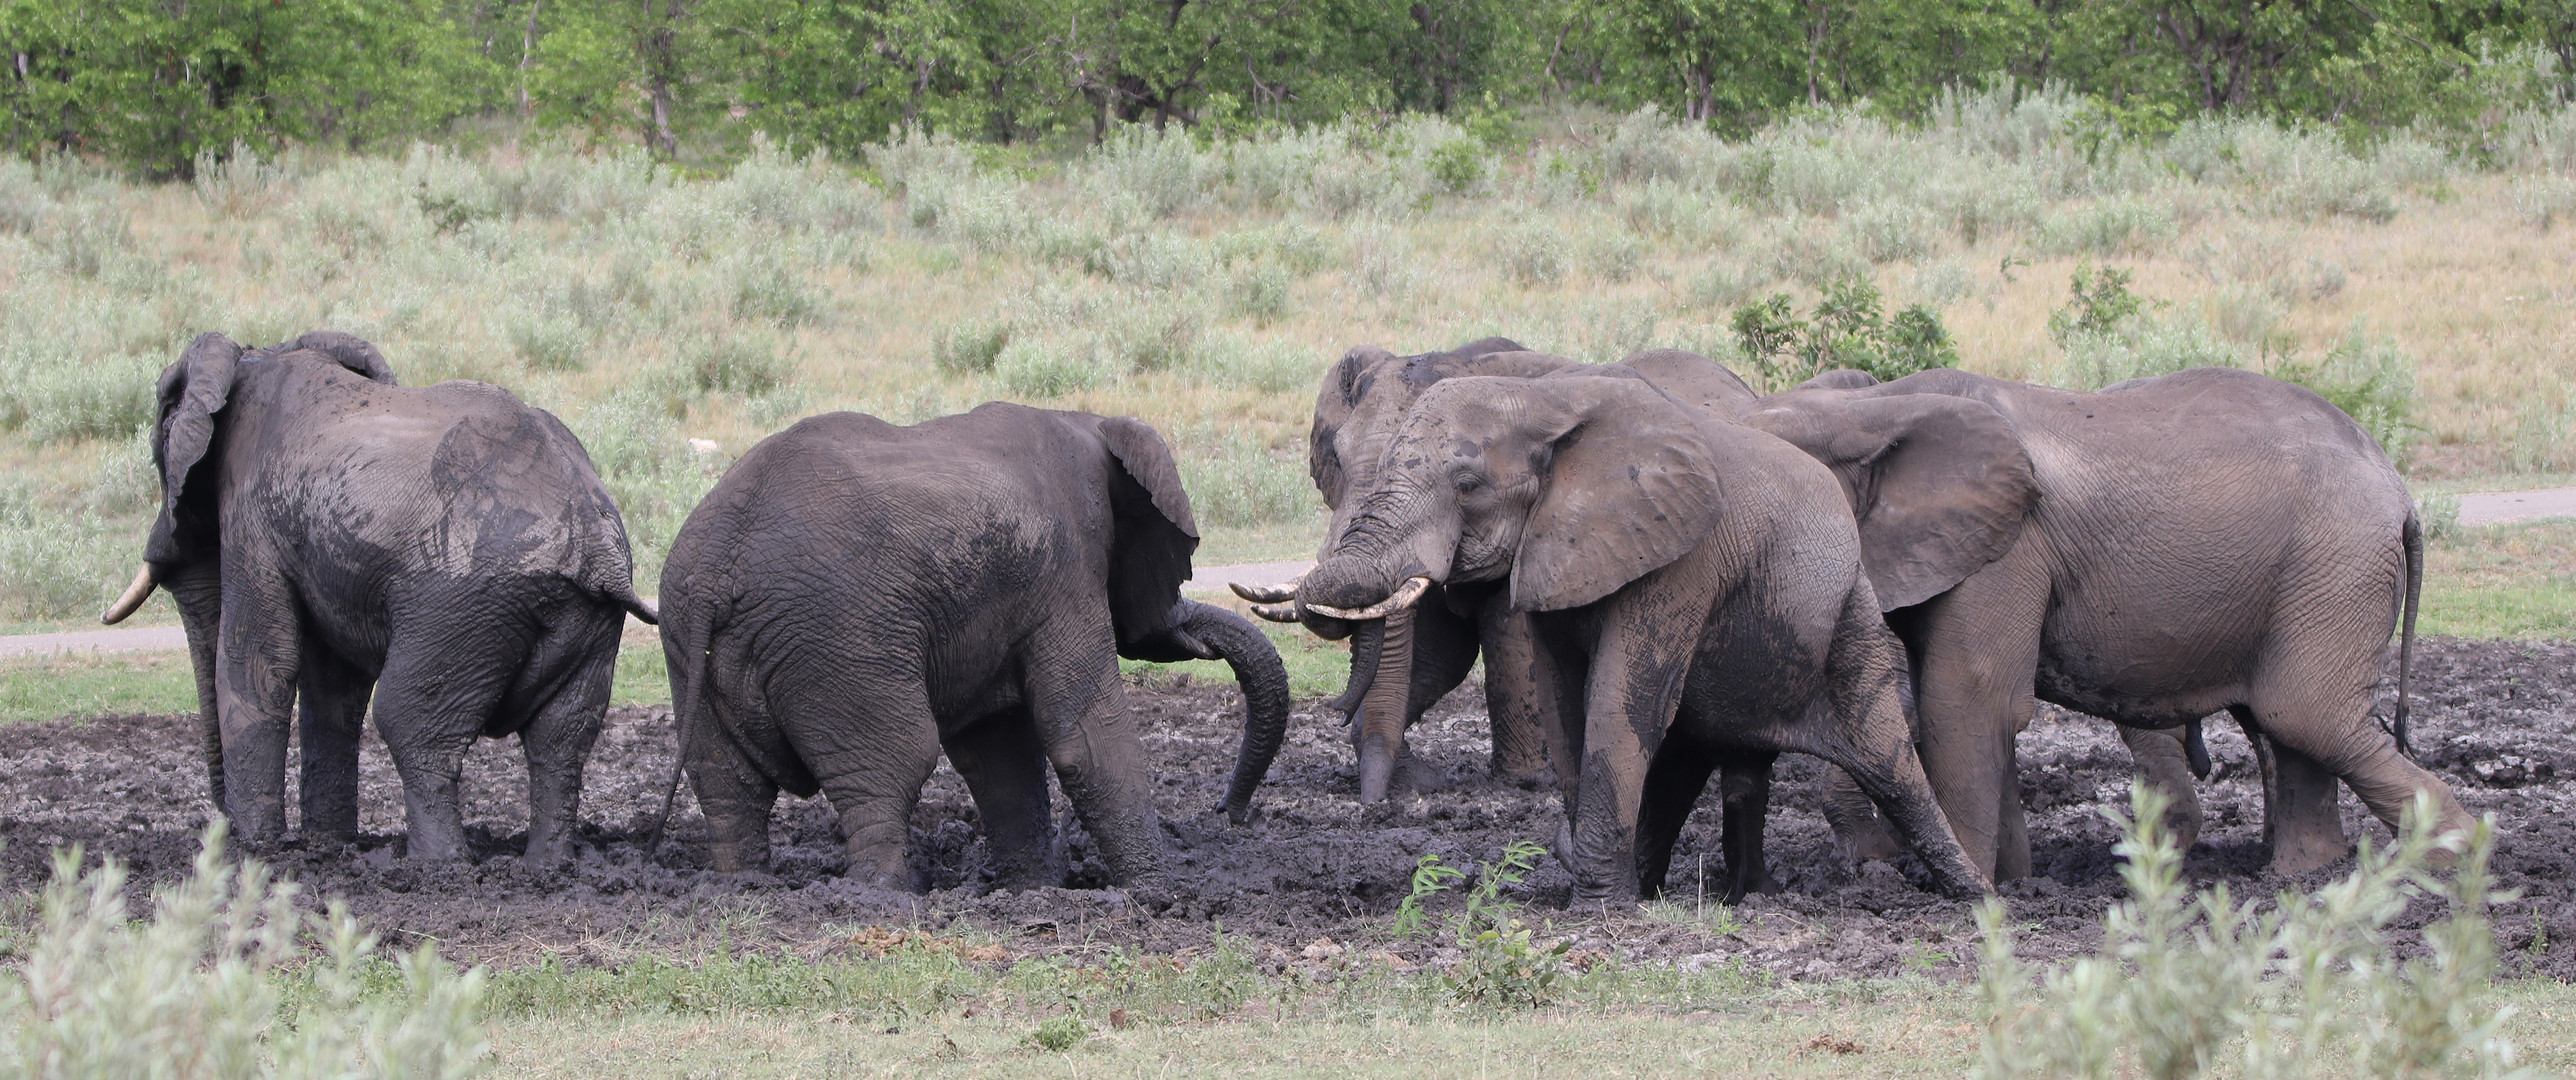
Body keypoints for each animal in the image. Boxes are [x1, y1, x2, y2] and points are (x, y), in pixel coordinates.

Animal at [101, 329, 659, 860]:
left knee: (411, 724)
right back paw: (546, 866)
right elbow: (332, 685)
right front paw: (328, 845)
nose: (222, 833)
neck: (256, 353)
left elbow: (258, 663)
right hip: (579, 620)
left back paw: (437, 866)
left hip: (459, 608)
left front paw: (256, 852)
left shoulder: (253, 519)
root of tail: (594, 541)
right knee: (561, 742)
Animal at [649, 404, 1282, 896]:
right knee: (896, 763)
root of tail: (717, 565)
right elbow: (1083, 739)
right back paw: (880, 899)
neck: (1088, 422)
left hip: (687, 635)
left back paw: (742, 888)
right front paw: (1156, 896)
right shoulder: (1065, 572)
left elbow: (997, 751)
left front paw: (1030, 893)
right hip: (837, 639)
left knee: (726, 783)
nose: (1229, 814)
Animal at [1236, 342, 1761, 809]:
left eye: (1467, 486)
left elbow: (1503, 629)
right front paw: (1419, 781)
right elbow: (1439, 651)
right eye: (1336, 458)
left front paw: (1523, 782)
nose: (1373, 807)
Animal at [1288, 371, 1988, 907]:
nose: (1335, 708)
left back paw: (1977, 898)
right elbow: (1565, 702)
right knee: (1686, 763)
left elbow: (1621, 700)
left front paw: (1596, 910)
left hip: (1849, 611)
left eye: (1467, 485)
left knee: (1887, 762)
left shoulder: (1683, 559)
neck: (1544, 400)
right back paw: (1669, 889)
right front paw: (1607, 897)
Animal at [1741, 368, 2462, 881]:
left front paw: (1971, 890)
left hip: (2335, 565)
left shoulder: (2009, 551)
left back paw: (2445, 866)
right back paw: (2303, 876)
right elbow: (1975, 709)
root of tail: (2400, 493)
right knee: (2296, 731)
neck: (1873, 407)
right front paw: (2017, 881)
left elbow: (1968, 700)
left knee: (2308, 717)